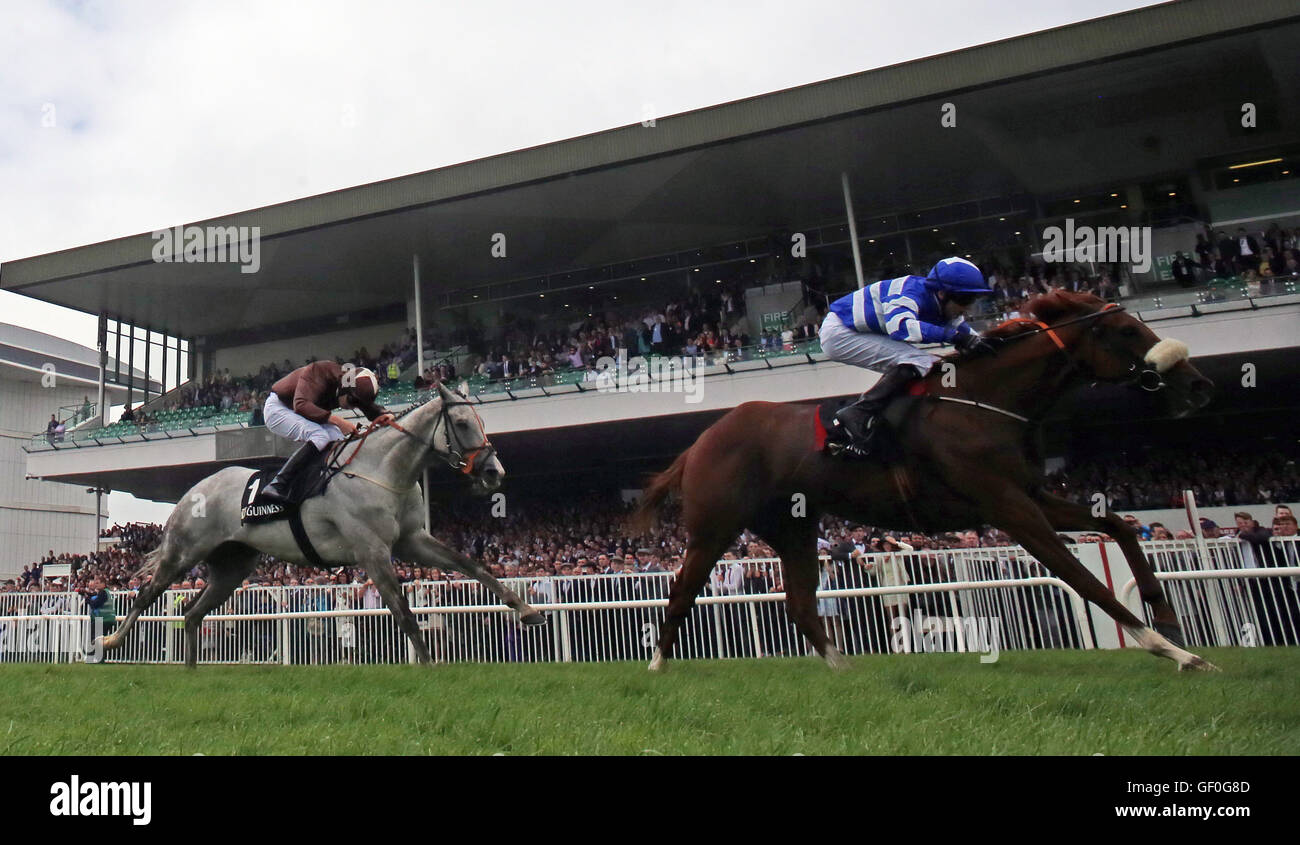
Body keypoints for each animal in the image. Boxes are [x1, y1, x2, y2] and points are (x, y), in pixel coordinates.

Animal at [101, 382, 543, 665]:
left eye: (481, 422)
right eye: (464, 424)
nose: (494, 473)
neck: (382, 470)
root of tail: (195, 489)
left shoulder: (412, 540)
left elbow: (472, 566)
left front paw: (526, 610)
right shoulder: (372, 549)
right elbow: (402, 609)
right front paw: (431, 666)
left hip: (232, 566)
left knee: (193, 614)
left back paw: (192, 672)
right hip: (183, 551)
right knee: (146, 594)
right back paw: (111, 640)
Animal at [634, 291, 1222, 670]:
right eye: (1127, 331)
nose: (1199, 385)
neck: (986, 403)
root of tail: (702, 439)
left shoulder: (1029, 494)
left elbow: (1118, 526)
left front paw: (1168, 619)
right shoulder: (1009, 508)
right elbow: (1081, 578)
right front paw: (1172, 650)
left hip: (793, 526)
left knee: (800, 602)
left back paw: (847, 673)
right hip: (714, 526)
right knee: (682, 591)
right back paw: (658, 668)